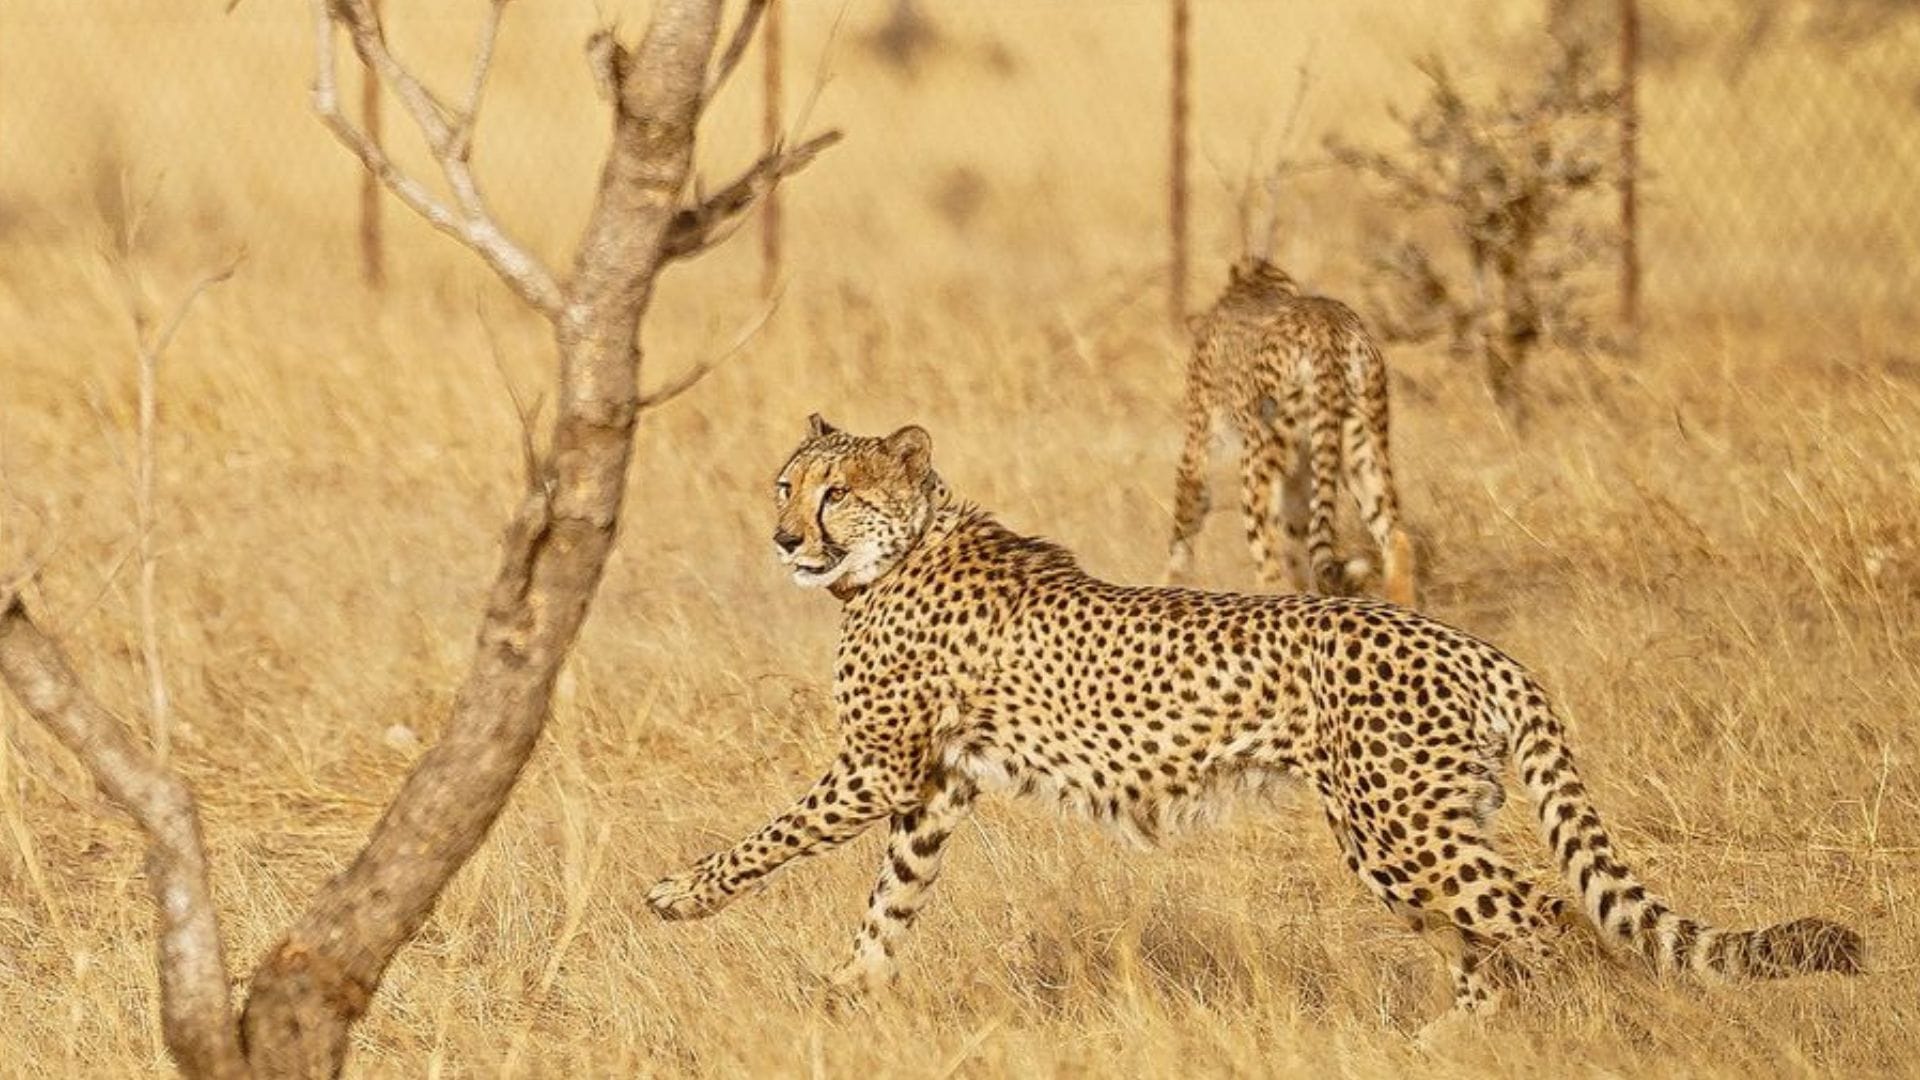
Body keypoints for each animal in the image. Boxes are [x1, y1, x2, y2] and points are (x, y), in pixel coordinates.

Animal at [647, 415, 1863, 1015]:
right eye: (785, 483)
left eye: (836, 493)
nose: (783, 537)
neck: (898, 551)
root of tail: (1481, 646)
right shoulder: (935, 786)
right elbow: (892, 899)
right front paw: (846, 991)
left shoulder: (879, 766)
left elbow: (769, 838)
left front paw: (680, 895)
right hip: (1410, 834)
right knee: (1486, 943)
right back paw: (1440, 1045)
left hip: (1398, 829)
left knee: (1543, 914)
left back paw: (1575, 1029)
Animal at [1168, 256, 1417, 608]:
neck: (1257, 282)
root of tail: (1328, 328)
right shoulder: (1300, 479)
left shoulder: (1198, 446)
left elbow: (1184, 522)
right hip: (1364, 450)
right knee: (1396, 537)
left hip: (1256, 461)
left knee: (1270, 570)